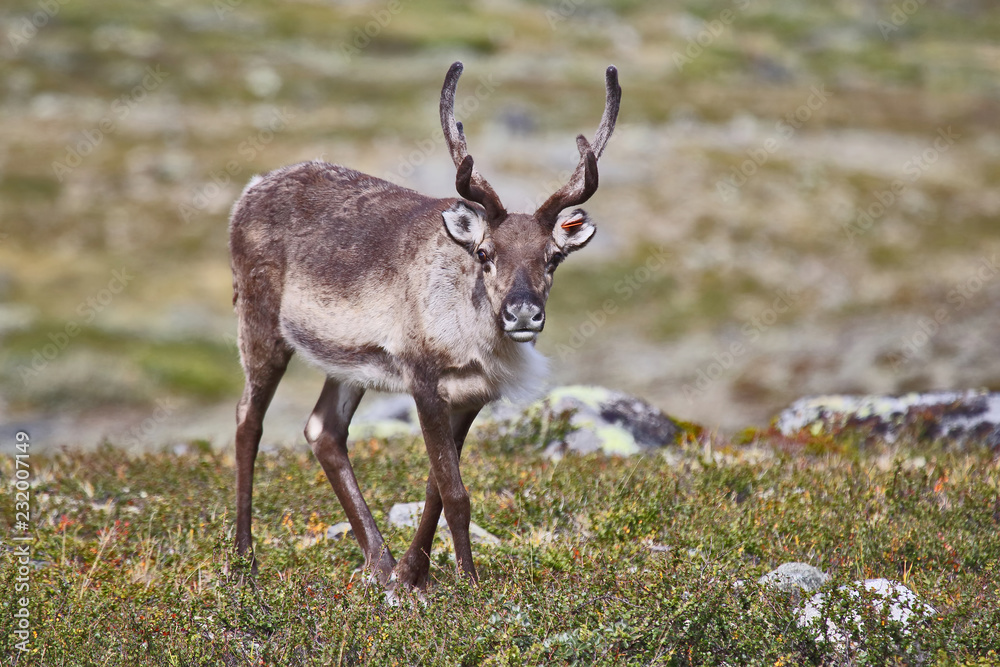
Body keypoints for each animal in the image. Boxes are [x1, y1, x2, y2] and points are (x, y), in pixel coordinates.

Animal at [228, 61, 621, 594]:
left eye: (553, 257)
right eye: (485, 253)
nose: (522, 313)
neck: (471, 336)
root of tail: (250, 189)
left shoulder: (471, 396)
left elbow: (438, 486)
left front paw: (413, 573)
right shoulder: (423, 380)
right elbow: (455, 493)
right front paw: (468, 583)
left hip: (349, 361)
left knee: (324, 429)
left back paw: (379, 563)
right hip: (259, 322)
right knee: (248, 420)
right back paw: (244, 558)